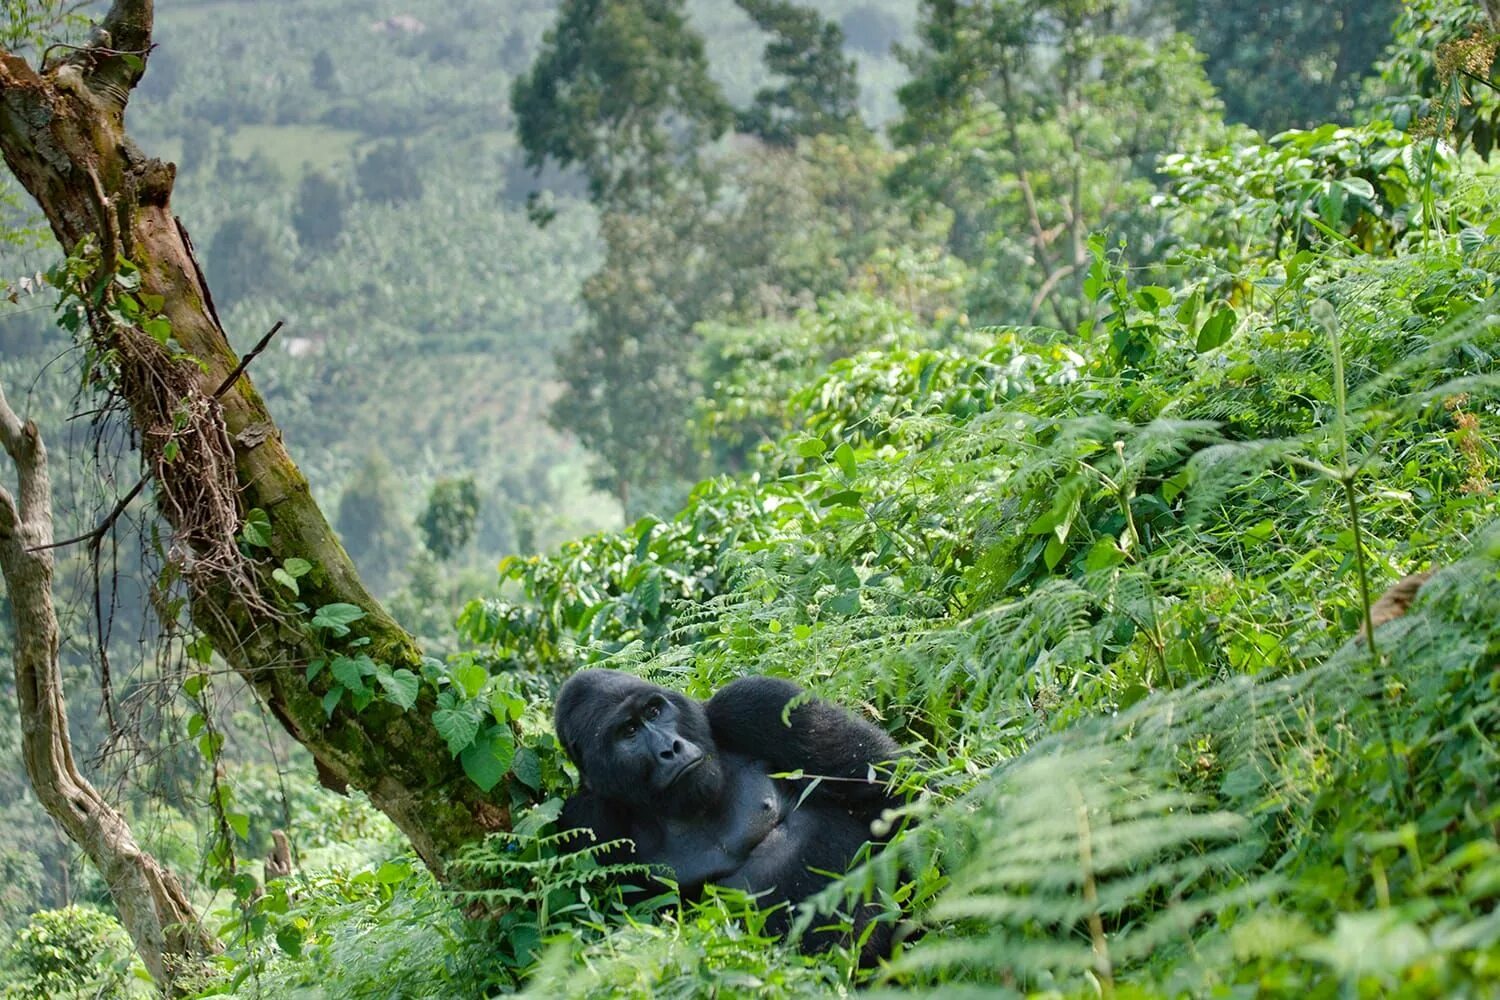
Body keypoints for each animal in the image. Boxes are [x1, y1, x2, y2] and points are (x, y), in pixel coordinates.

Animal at [555, 668, 894, 959]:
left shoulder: (757, 703)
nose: (671, 748)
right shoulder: (586, 821)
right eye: (629, 731)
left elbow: (883, 785)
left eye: (654, 712)